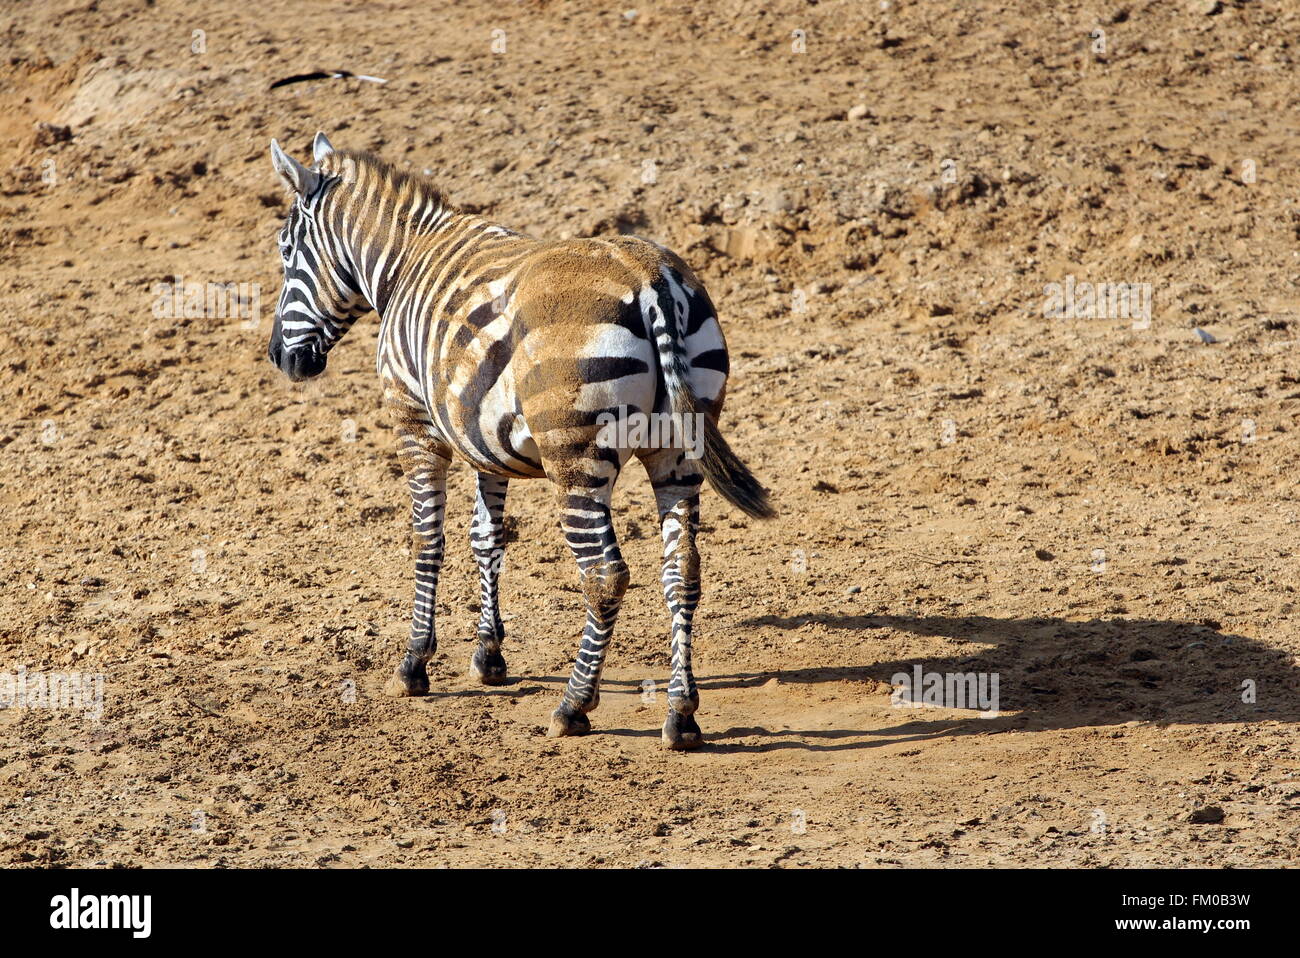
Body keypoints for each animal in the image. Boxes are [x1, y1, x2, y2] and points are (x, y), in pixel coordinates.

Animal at [263, 132, 769, 748]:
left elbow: (426, 540)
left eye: (286, 252)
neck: (404, 261)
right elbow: (488, 538)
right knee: (682, 571)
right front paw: (488, 655)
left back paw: (573, 706)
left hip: (576, 460)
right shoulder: (482, 438)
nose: (281, 359)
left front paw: (415, 663)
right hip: (677, 452)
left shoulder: (416, 426)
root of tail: (647, 273)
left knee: (605, 577)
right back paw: (681, 713)